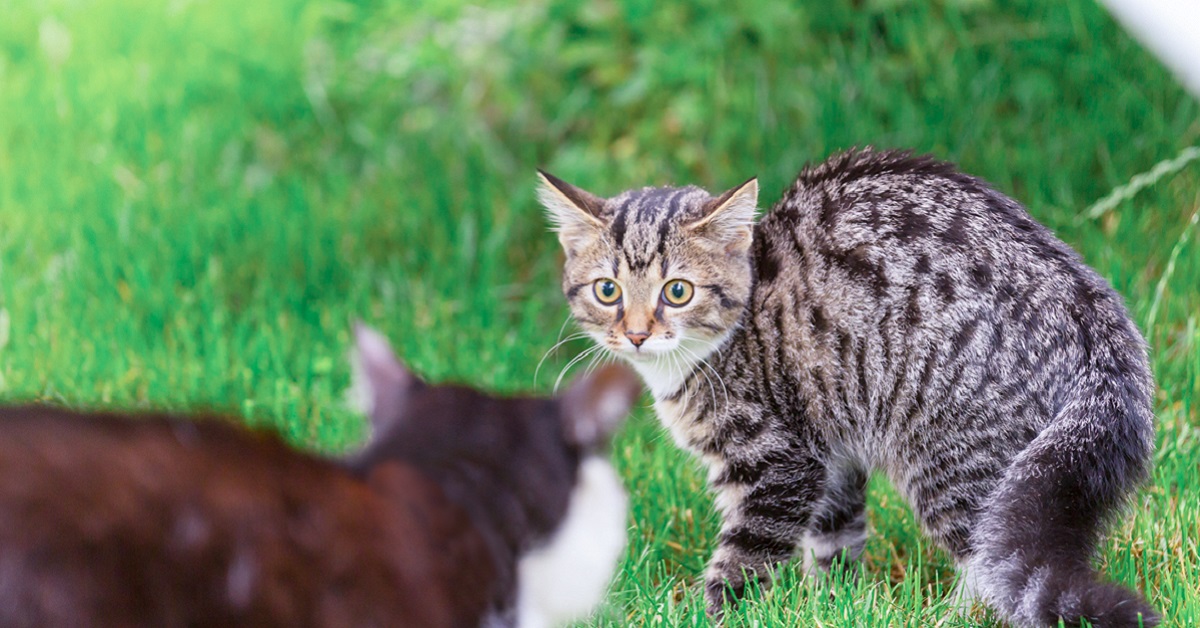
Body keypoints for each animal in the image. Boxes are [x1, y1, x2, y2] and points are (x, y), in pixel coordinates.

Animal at [540, 150, 1156, 624]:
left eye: (677, 291)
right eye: (607, 290)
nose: (637, 334)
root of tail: (1093, 316)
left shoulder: (778, 462)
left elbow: (741, 562)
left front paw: (708, 616)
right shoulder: (828, 449)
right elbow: (834, 538)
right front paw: (834, 605)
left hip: (956, 459)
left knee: (995, 563)